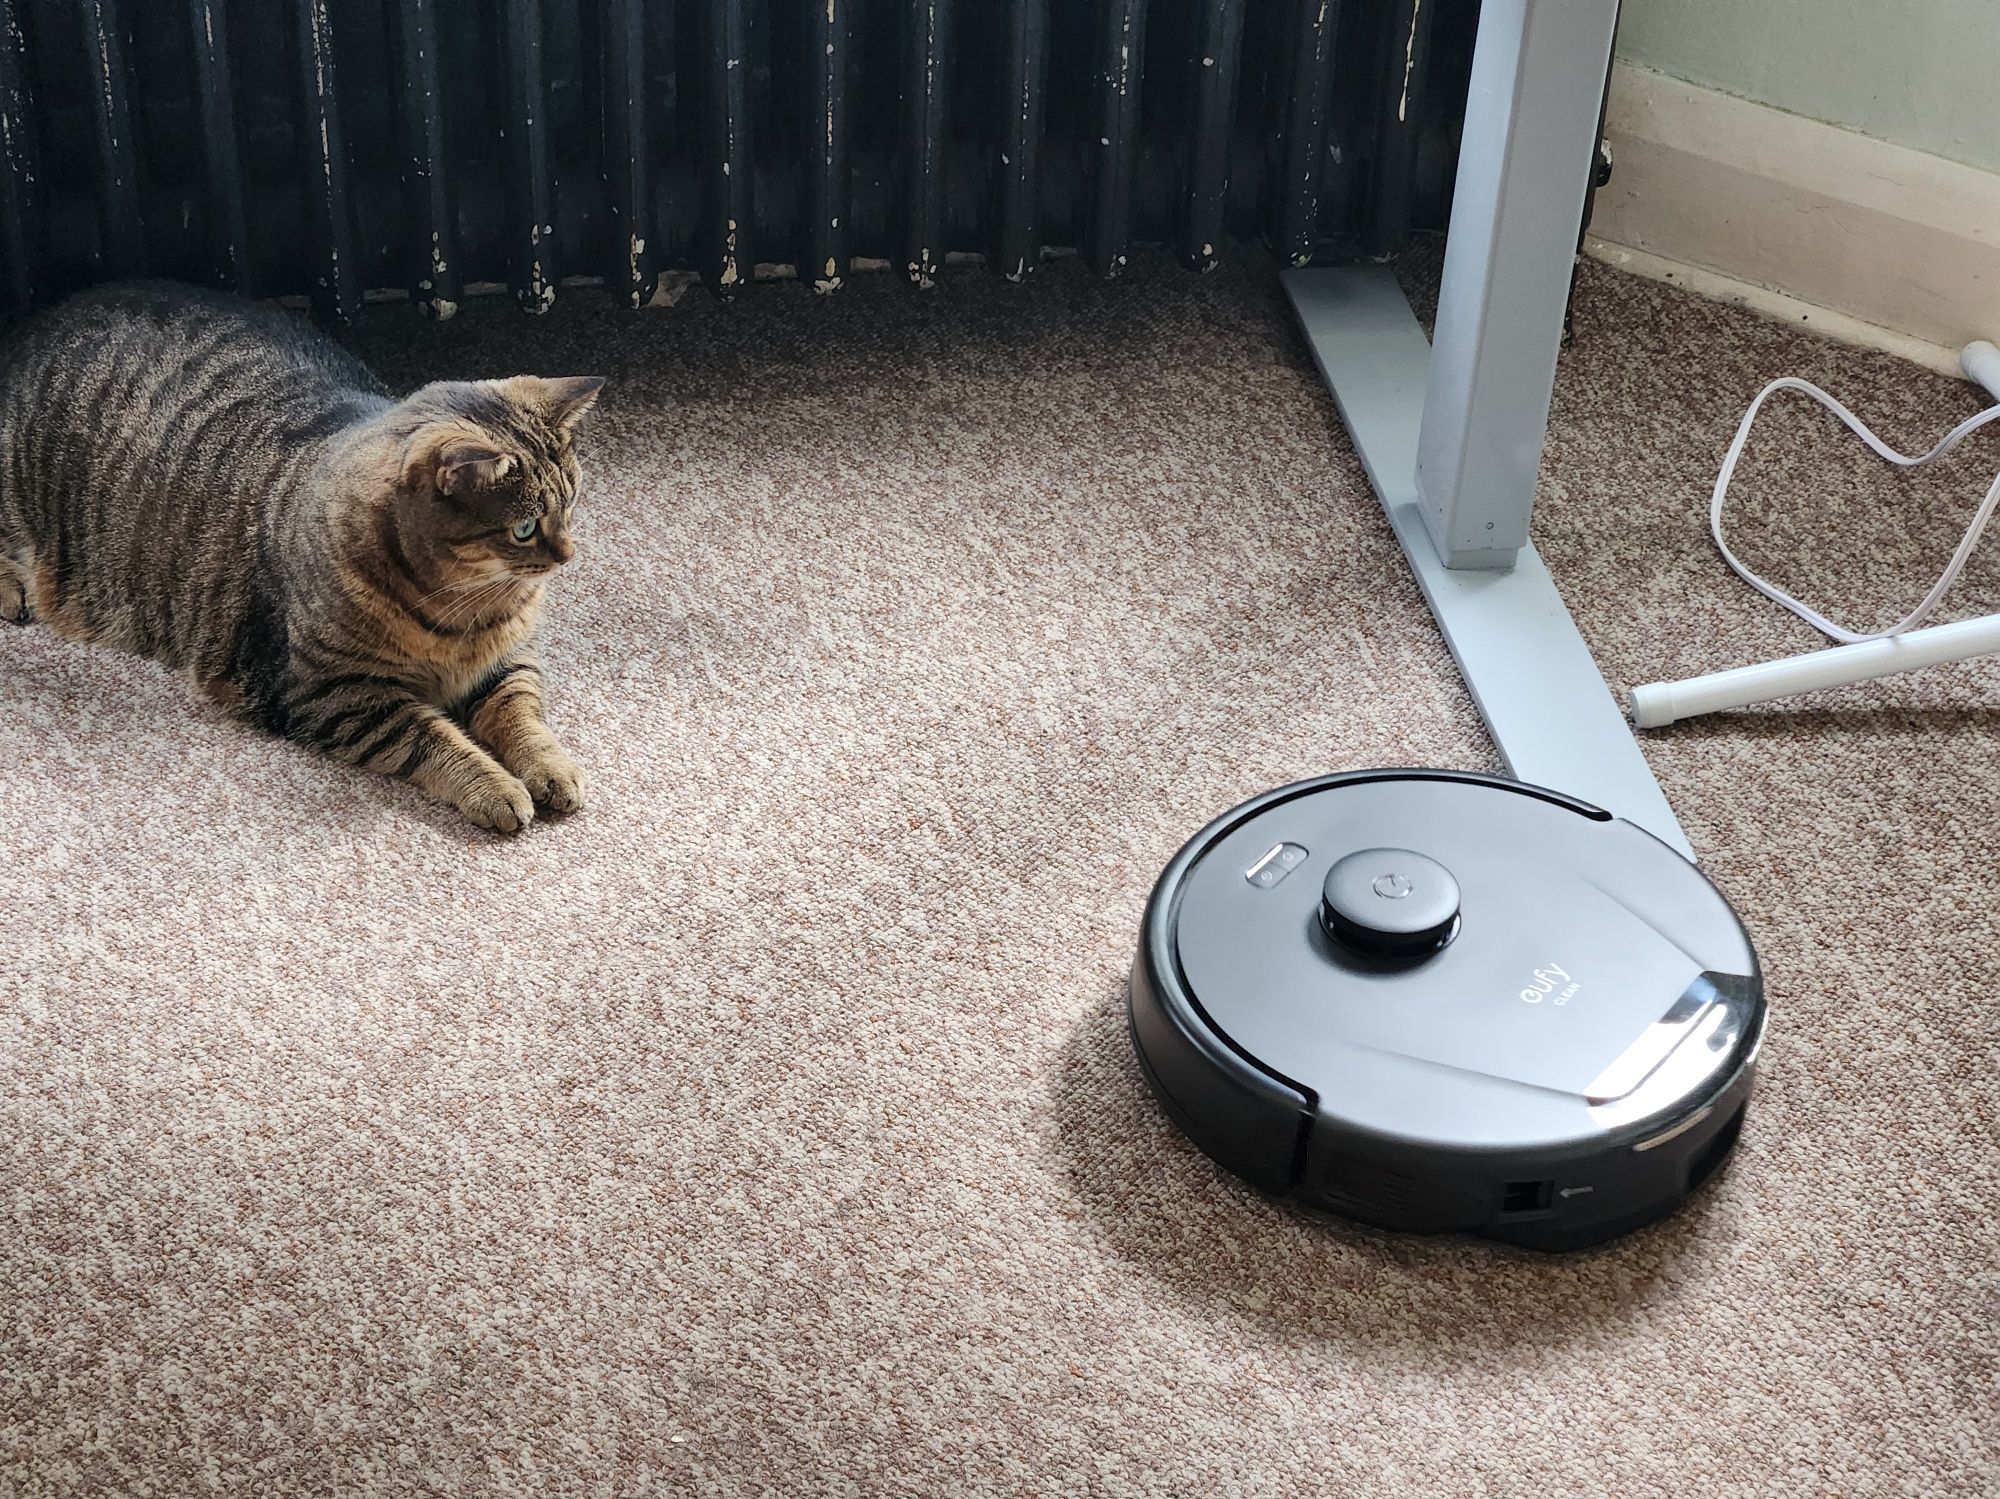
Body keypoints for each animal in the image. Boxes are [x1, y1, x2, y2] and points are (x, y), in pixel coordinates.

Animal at [0, 279, 600, 835]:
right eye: (524, 528)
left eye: (571, 504)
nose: (567, 555)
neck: (462, 605)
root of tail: (47, 315)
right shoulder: (334, 695)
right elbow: (433, 740)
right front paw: (496, 787)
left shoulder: (508, 660)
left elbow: (522, 714)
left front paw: (551, 769)